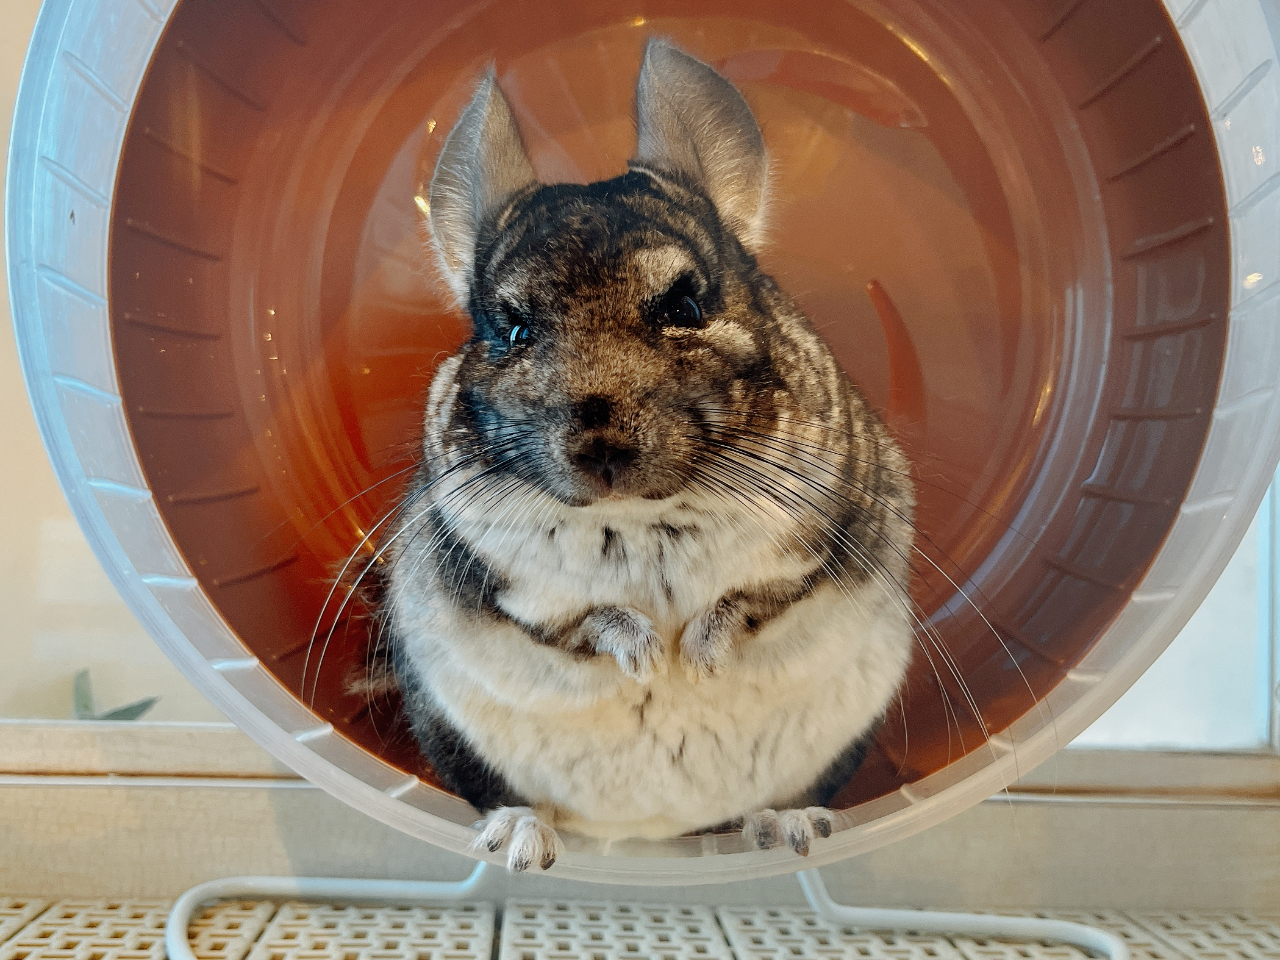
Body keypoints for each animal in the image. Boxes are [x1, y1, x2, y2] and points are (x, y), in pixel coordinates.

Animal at [383, 38, 916, 873]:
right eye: (512, 330)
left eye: (686, 305)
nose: (602, 448)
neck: (640, 515)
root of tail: (653, 843)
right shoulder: (499, 579)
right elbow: (585, 617)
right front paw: (646, 660)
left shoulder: (822, 538)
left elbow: (748, 599)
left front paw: (695, 661)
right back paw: (521, 841)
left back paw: (790, 829)